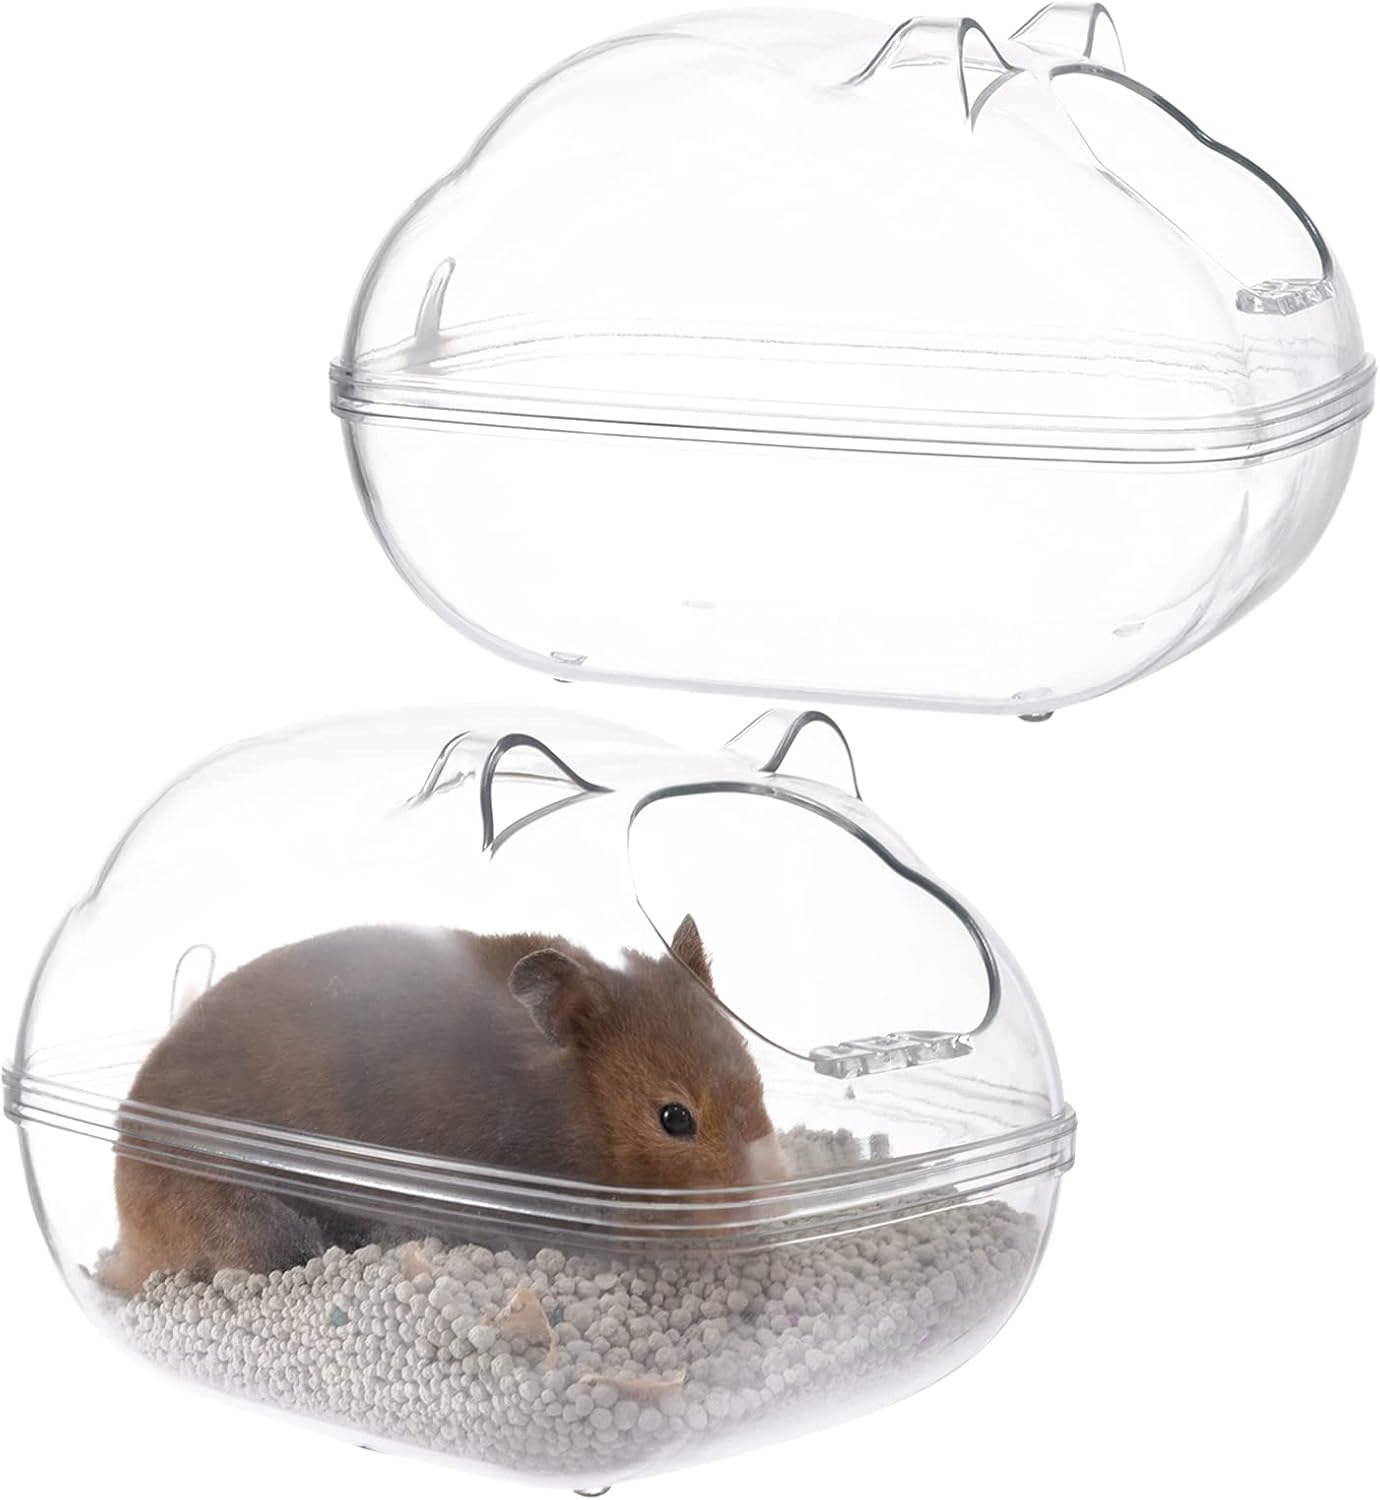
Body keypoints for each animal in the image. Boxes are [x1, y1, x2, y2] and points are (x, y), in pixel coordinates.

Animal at [102, 916, 786, 1294]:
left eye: (755, 1076)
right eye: (674, 1118)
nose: (760, 1215)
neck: (568, 1108)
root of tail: (128, 1248)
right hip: (242, 1217)